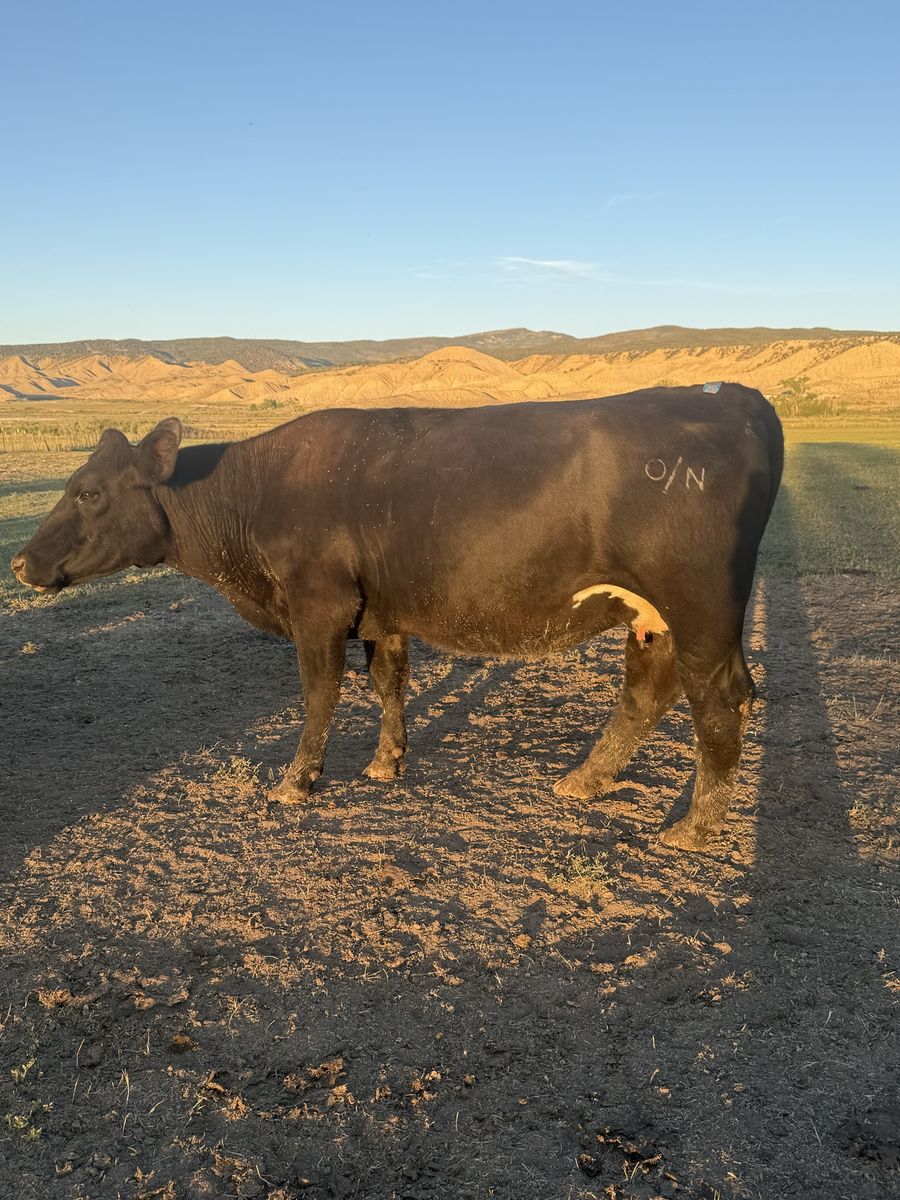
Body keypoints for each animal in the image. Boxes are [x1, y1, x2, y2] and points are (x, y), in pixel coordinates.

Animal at [11, 384, 783, 850]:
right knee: (648, 689)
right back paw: (586, 780)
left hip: (702, 609)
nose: (18, 564)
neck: (249, 495)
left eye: (88, 493)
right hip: (653, 614)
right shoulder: (380, 613)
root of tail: (733, 396)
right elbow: (389, 682)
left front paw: (297, 782)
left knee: (719, 700)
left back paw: (694, 827)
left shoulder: (318, 606)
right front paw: (387, 762)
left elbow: (319, 694)